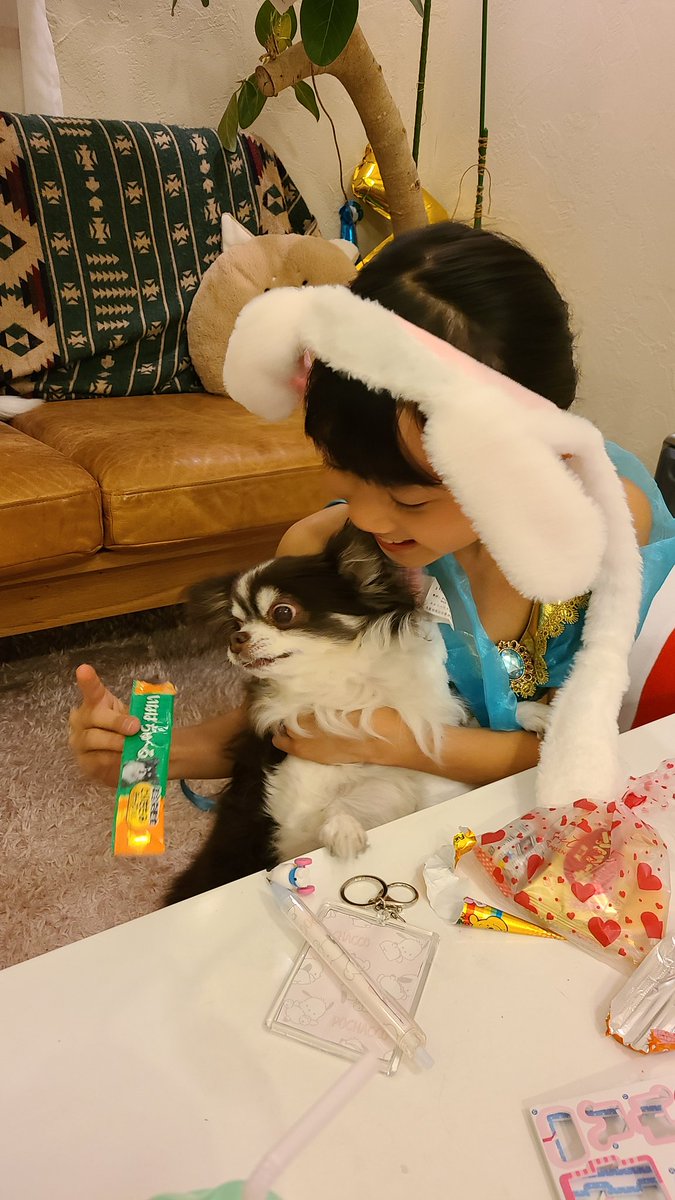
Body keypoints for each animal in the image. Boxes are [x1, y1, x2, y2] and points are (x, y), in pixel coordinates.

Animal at [166, 521, 471, 904]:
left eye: (283, 613)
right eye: (235, 625)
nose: (236, 639)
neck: (341, 687)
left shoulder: (431, 778)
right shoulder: (292, 812)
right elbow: (329, 807)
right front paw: (343, 828)